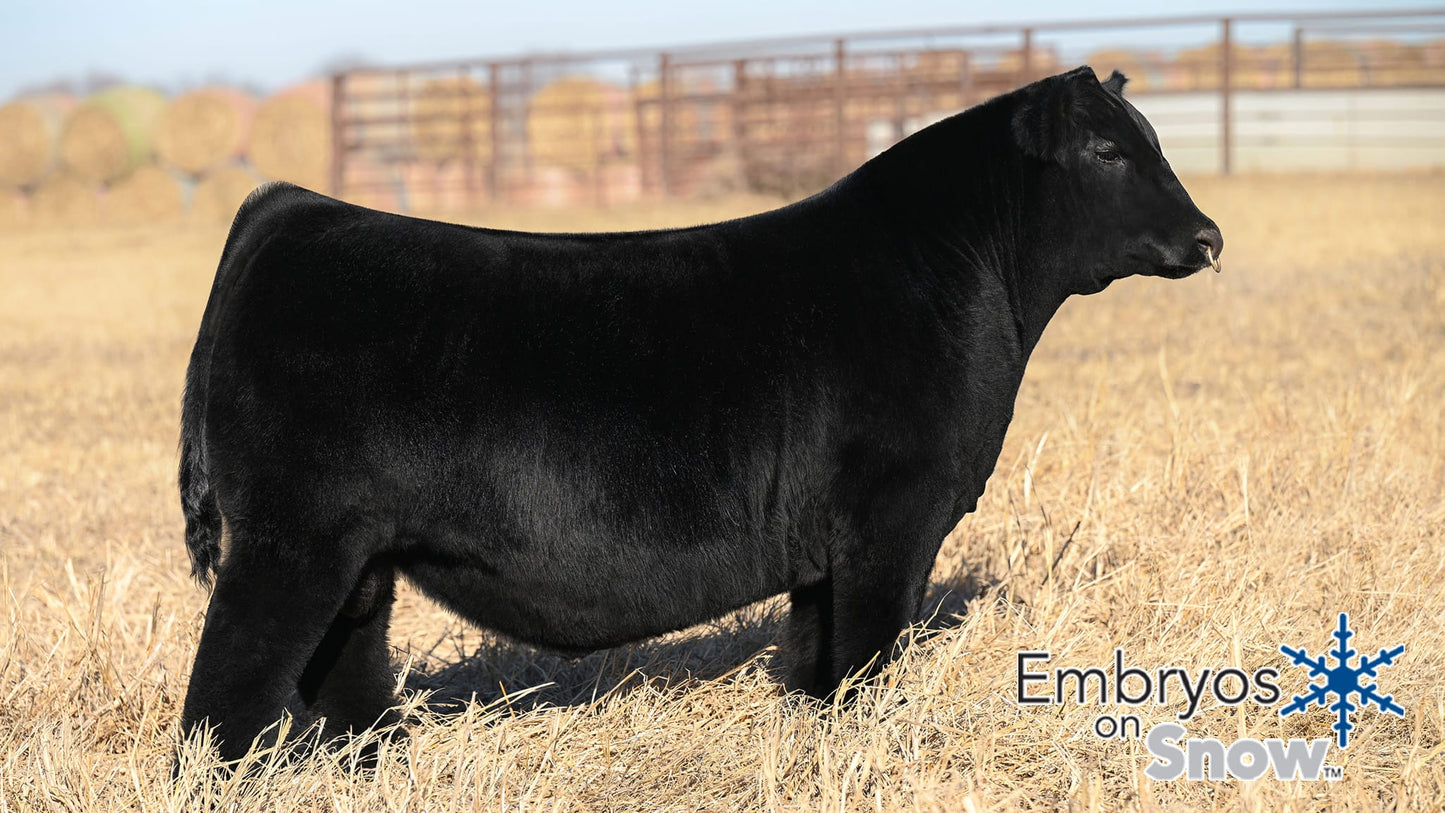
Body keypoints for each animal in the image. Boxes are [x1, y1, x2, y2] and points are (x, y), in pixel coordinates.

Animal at [176, 66, 1223, 764]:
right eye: (1106, 150)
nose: (1208, 237)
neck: (960, 278)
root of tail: (291, 208)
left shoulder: (827, 545)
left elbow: (815, 660)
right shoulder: (890, 518)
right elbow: (865, 658)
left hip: (359, 554)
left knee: (343, 665)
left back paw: (373, 762)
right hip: (289, 541)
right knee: (224, 693)